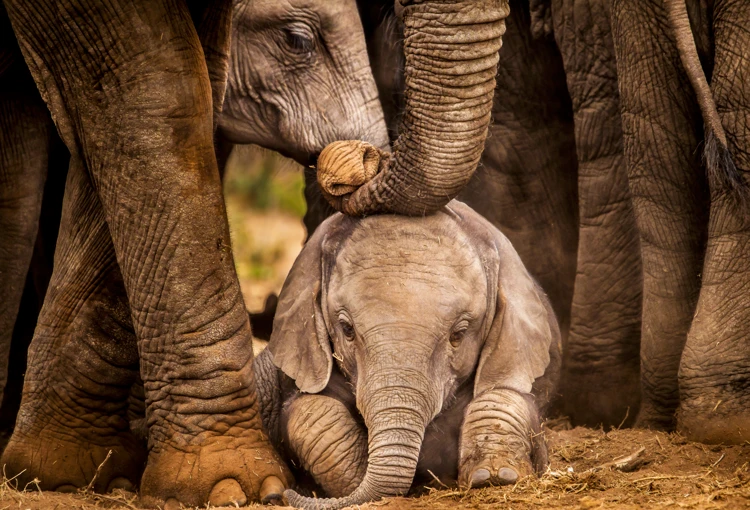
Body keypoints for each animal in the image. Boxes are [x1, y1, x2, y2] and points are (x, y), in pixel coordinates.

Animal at [256, 201, 560, 508]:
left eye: (458, 334)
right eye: (347, 329)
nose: (283, 496)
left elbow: (504, 396)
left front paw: (493, 476)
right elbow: (311, 410)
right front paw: (353, 478)